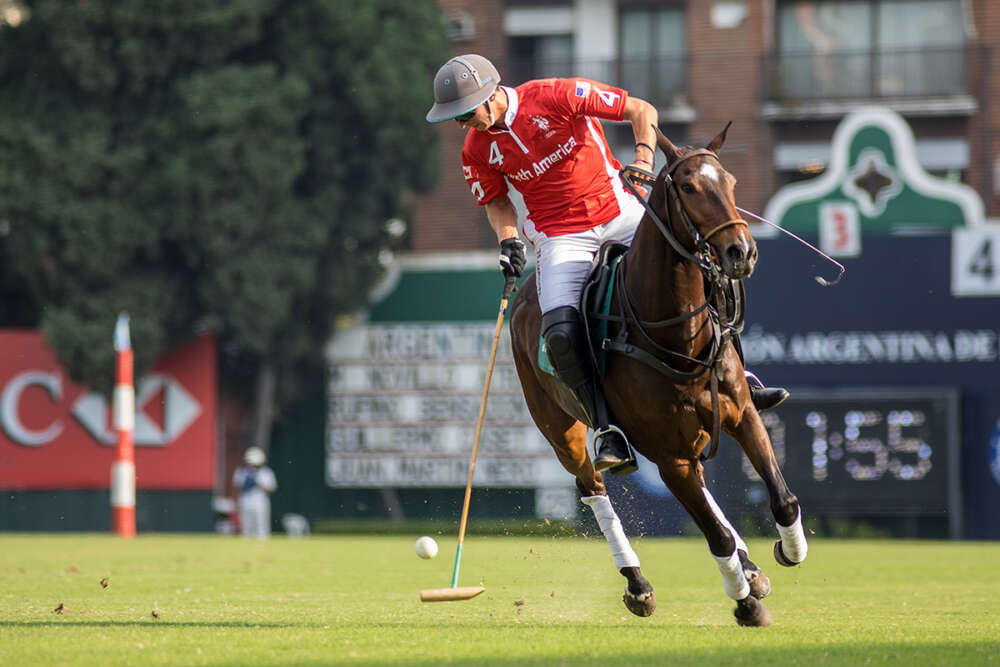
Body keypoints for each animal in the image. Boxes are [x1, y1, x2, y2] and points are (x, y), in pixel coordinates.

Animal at [512, 124, 808, 628]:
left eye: (730, 182)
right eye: (687, 187)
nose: (741, 252)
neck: (675, 334)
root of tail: (523, 299)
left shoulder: (742, 415)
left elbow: (781, 497)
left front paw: (787, 552)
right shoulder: (668, 456)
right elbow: (714, 536)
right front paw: (745, 602)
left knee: (706, 491)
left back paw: (751, 569)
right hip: (559, 429)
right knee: (592, 487)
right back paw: (638, 584)